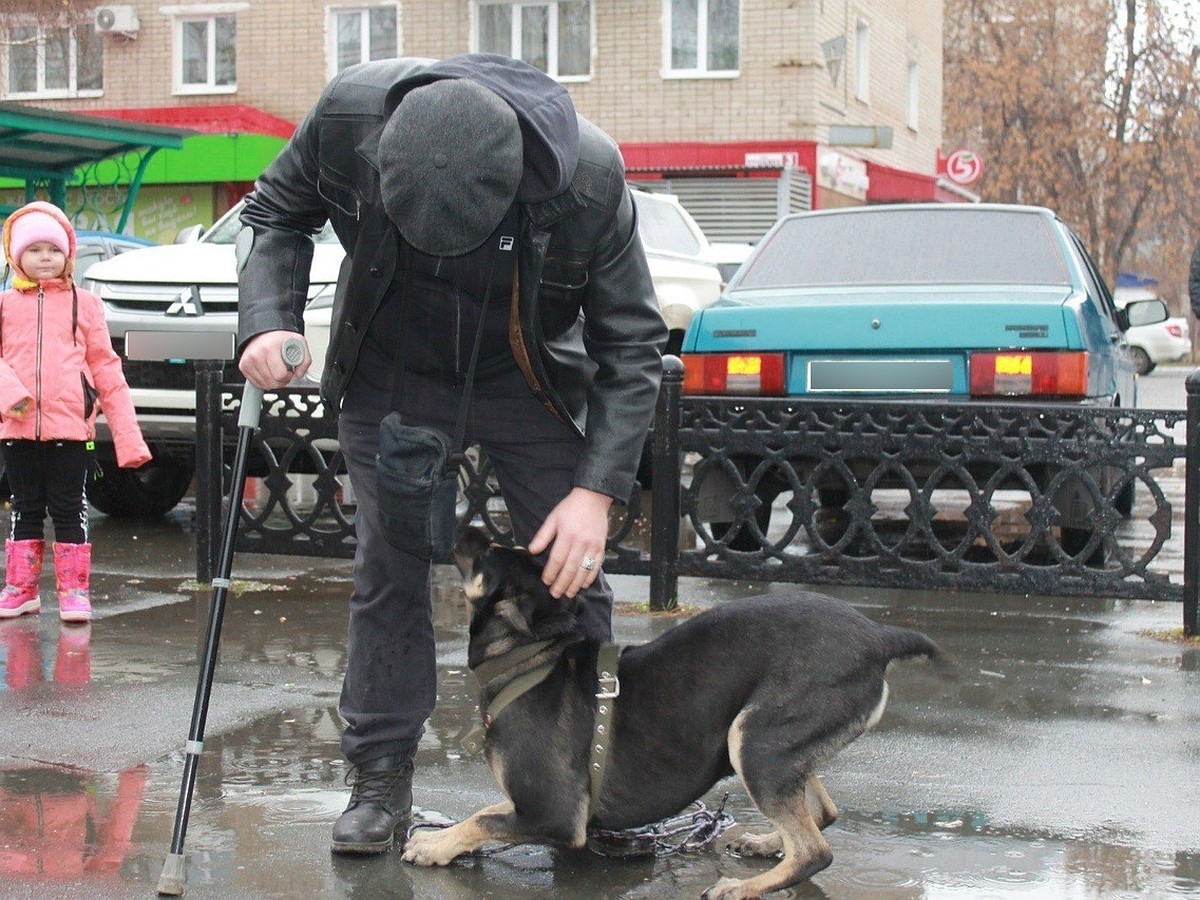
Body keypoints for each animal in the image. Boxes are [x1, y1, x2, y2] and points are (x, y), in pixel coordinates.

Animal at [403, 528, 945, 900]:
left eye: (486, 555)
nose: (467, 529)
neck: (532, 656)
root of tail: (879, 637)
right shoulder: (538, 805)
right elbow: (485, 813)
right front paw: (443, 840)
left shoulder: (556, 814)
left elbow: (484, 819)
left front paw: (433, 846)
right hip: (783, 746)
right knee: (822, 814)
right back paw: (766, 843)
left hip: (755, 742)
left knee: (814, 850)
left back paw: (742, 888)